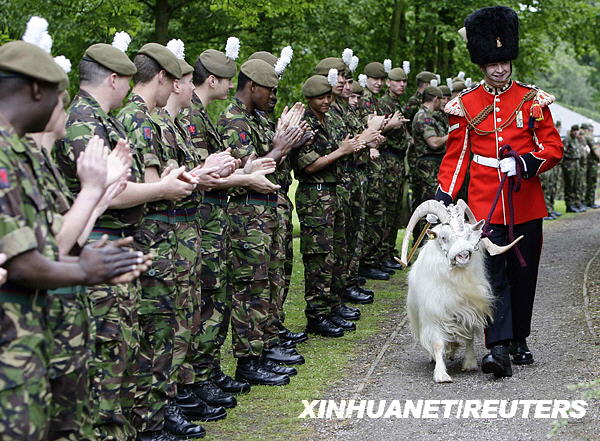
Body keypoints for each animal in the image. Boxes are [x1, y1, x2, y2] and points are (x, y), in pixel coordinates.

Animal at [400, 199, 524, 382]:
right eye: (444, 237)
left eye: (469, 235)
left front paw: (470, 363)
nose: (463, 255)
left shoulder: (469, 310)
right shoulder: (435, 314)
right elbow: (437, 343)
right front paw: (441, 374)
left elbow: (469, 337)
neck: (457, 279)